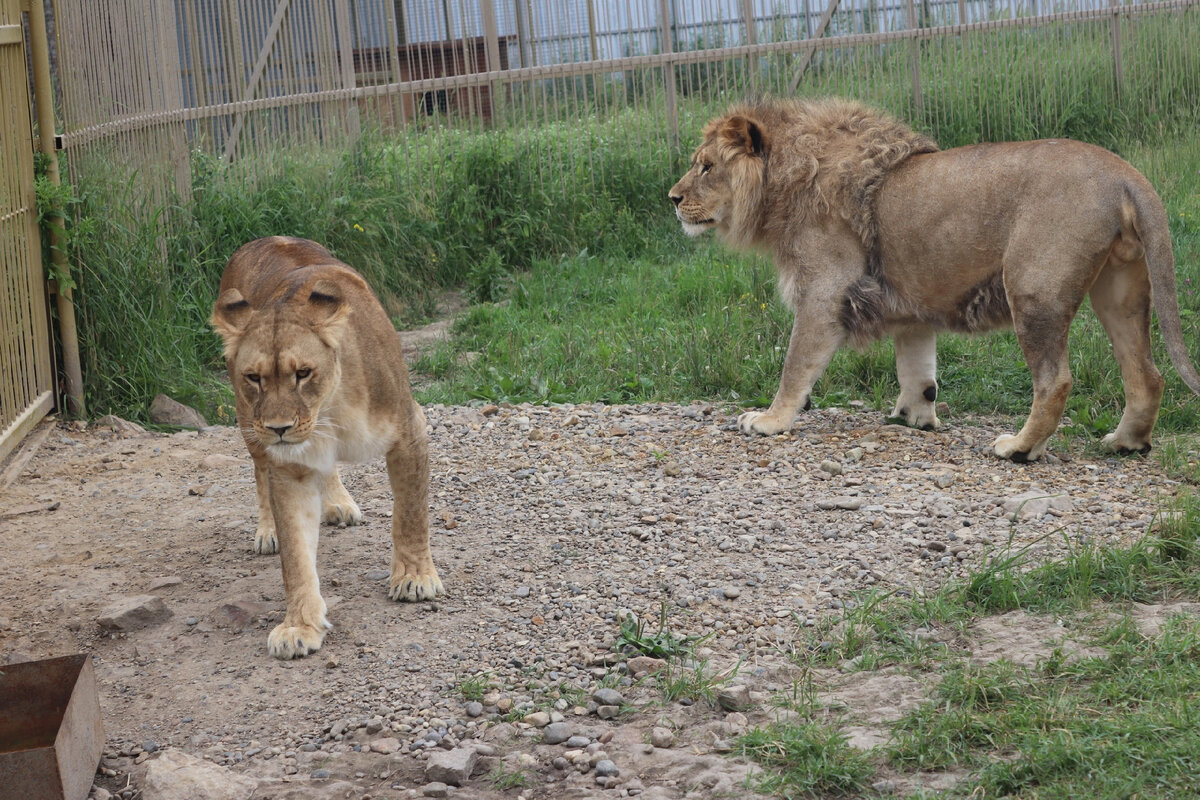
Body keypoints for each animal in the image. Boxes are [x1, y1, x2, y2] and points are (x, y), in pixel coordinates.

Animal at [213, 236, 444, 657]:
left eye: (303, 373)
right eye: (254, 377)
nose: (280, 429)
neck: (327, 412)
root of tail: (260, 239)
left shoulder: (410, 430)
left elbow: (411, 514)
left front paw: (415, 579)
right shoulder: (287, 468)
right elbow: (296, 555)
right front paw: (299, 625)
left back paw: (339, 504)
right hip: (247, 425)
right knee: (259, 472)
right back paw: (268, 530)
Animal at [672, 98, 1200, 462]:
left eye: (706, 166)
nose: (673, 199)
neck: (782, 184)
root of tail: (1125, 173)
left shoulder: (825, 292)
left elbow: (796, 365)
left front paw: (769, 420)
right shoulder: (910, 308)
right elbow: (918, 371)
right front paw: (915, 419)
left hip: (1033, 289)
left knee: (1055, 381)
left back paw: (1019, 448)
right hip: (1119, 290)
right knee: (1146, 374)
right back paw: (1125, 443)